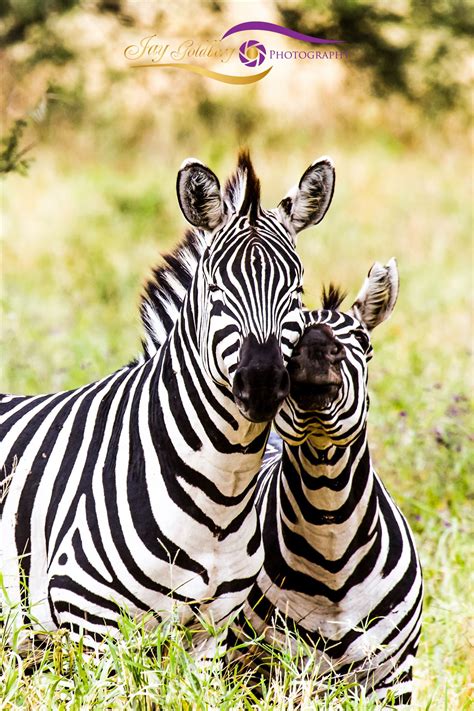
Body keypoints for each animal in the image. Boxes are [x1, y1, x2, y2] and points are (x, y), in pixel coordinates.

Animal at [0, 153, 336, 652]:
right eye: (216, 292)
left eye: (294, 294)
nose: (262, 384)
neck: (222, 496)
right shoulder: (91, 623)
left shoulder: (210, 632)